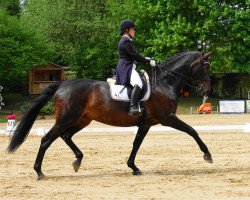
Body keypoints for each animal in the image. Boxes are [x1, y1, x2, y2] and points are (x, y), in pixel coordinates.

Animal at [7, 50, 213, 179]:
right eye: (206, 67)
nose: (206, 91)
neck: (164, 83)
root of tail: (62, 84)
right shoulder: (167, 118)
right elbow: (192, 131)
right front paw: (208, 155)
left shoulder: (146, 123)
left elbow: (136, 144)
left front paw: (133, 167)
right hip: (65, 119)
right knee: (46, 140)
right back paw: (39, 172)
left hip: (83, 120)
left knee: (66, 136)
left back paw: (77, 160)